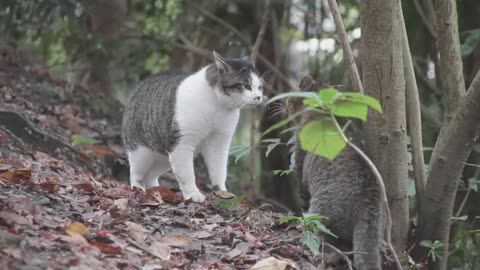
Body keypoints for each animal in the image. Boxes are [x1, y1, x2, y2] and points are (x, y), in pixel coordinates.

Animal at [120, 51, 262, 202]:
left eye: (260, 87)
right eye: (246, 86)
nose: (259, 97)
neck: (219, 107)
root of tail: (140, 86)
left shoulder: (219, 143)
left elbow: (219, 169)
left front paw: (222, 192)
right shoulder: (182, 142)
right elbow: (187, 174)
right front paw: (193, 194)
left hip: (163, 155)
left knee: (151, 174)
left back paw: (156, 190)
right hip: (141, 152)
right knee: (136, 173)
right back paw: (139, 189)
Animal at [286, 76, 384, 270]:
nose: (284, 104)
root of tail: (369, 203)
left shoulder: (300, 156)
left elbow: (301, 186)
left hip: (321, 214)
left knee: (327, 242)